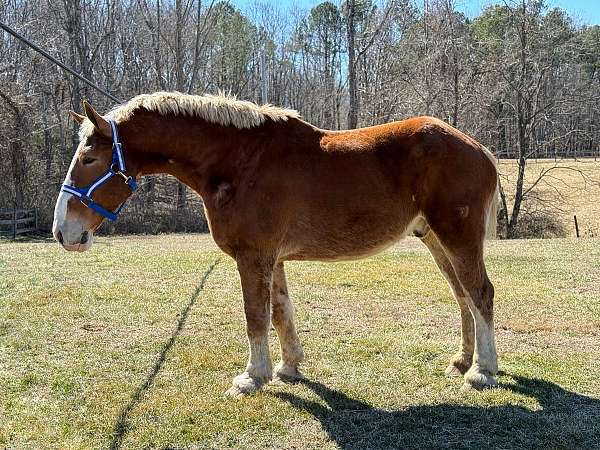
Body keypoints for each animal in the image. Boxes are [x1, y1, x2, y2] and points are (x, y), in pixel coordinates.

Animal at [54, 92, 500, 398]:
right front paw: (289, 367)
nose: (63, 232)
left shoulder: (253, 257)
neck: (239, 161)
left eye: (89, 159)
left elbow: (256, 315)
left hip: (457, 237)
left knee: (480, 293)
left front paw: (252, 377)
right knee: (462, 295)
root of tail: (479, 149)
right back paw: (462, 360)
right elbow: (282, 310)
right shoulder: (274, 259)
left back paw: (482, 370)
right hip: (436, 240)